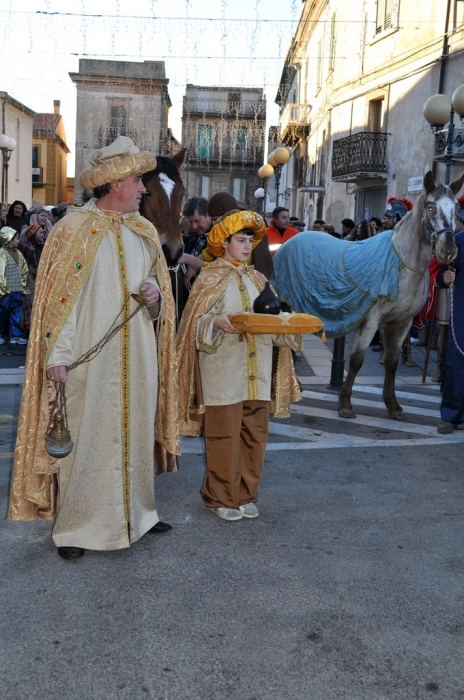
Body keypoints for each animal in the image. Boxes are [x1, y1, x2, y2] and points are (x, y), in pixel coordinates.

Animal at [274, 172, 462, 418]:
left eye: (456, 208)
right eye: (431, 207)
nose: (448, 250)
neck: (403, 264)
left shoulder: (402, 322)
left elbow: (391, 362)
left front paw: (393, 405)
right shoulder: (372, 320)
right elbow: (356, 360)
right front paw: (345, 403)